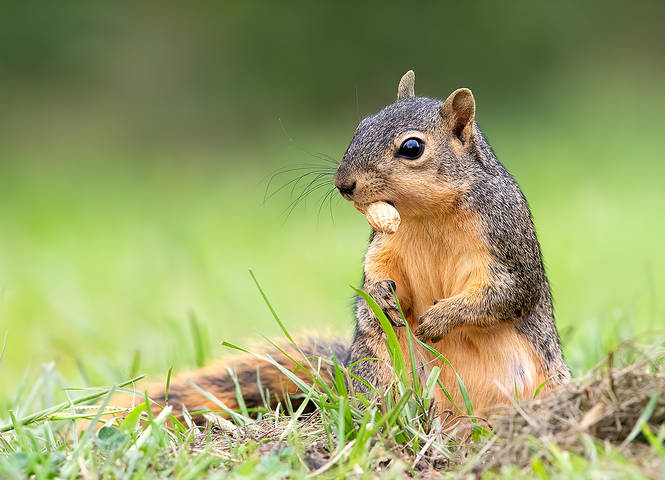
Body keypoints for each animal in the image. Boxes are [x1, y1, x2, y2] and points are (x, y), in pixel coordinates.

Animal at [110, 71, 570, 423]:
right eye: (361, 126)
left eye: (412, 147)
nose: (343, 184)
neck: (428, 215)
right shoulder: (384, 245)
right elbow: (377, 272)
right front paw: (381, 295)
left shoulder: (504, 240)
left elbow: (505, 292)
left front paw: (439, 319)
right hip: (378, 368)